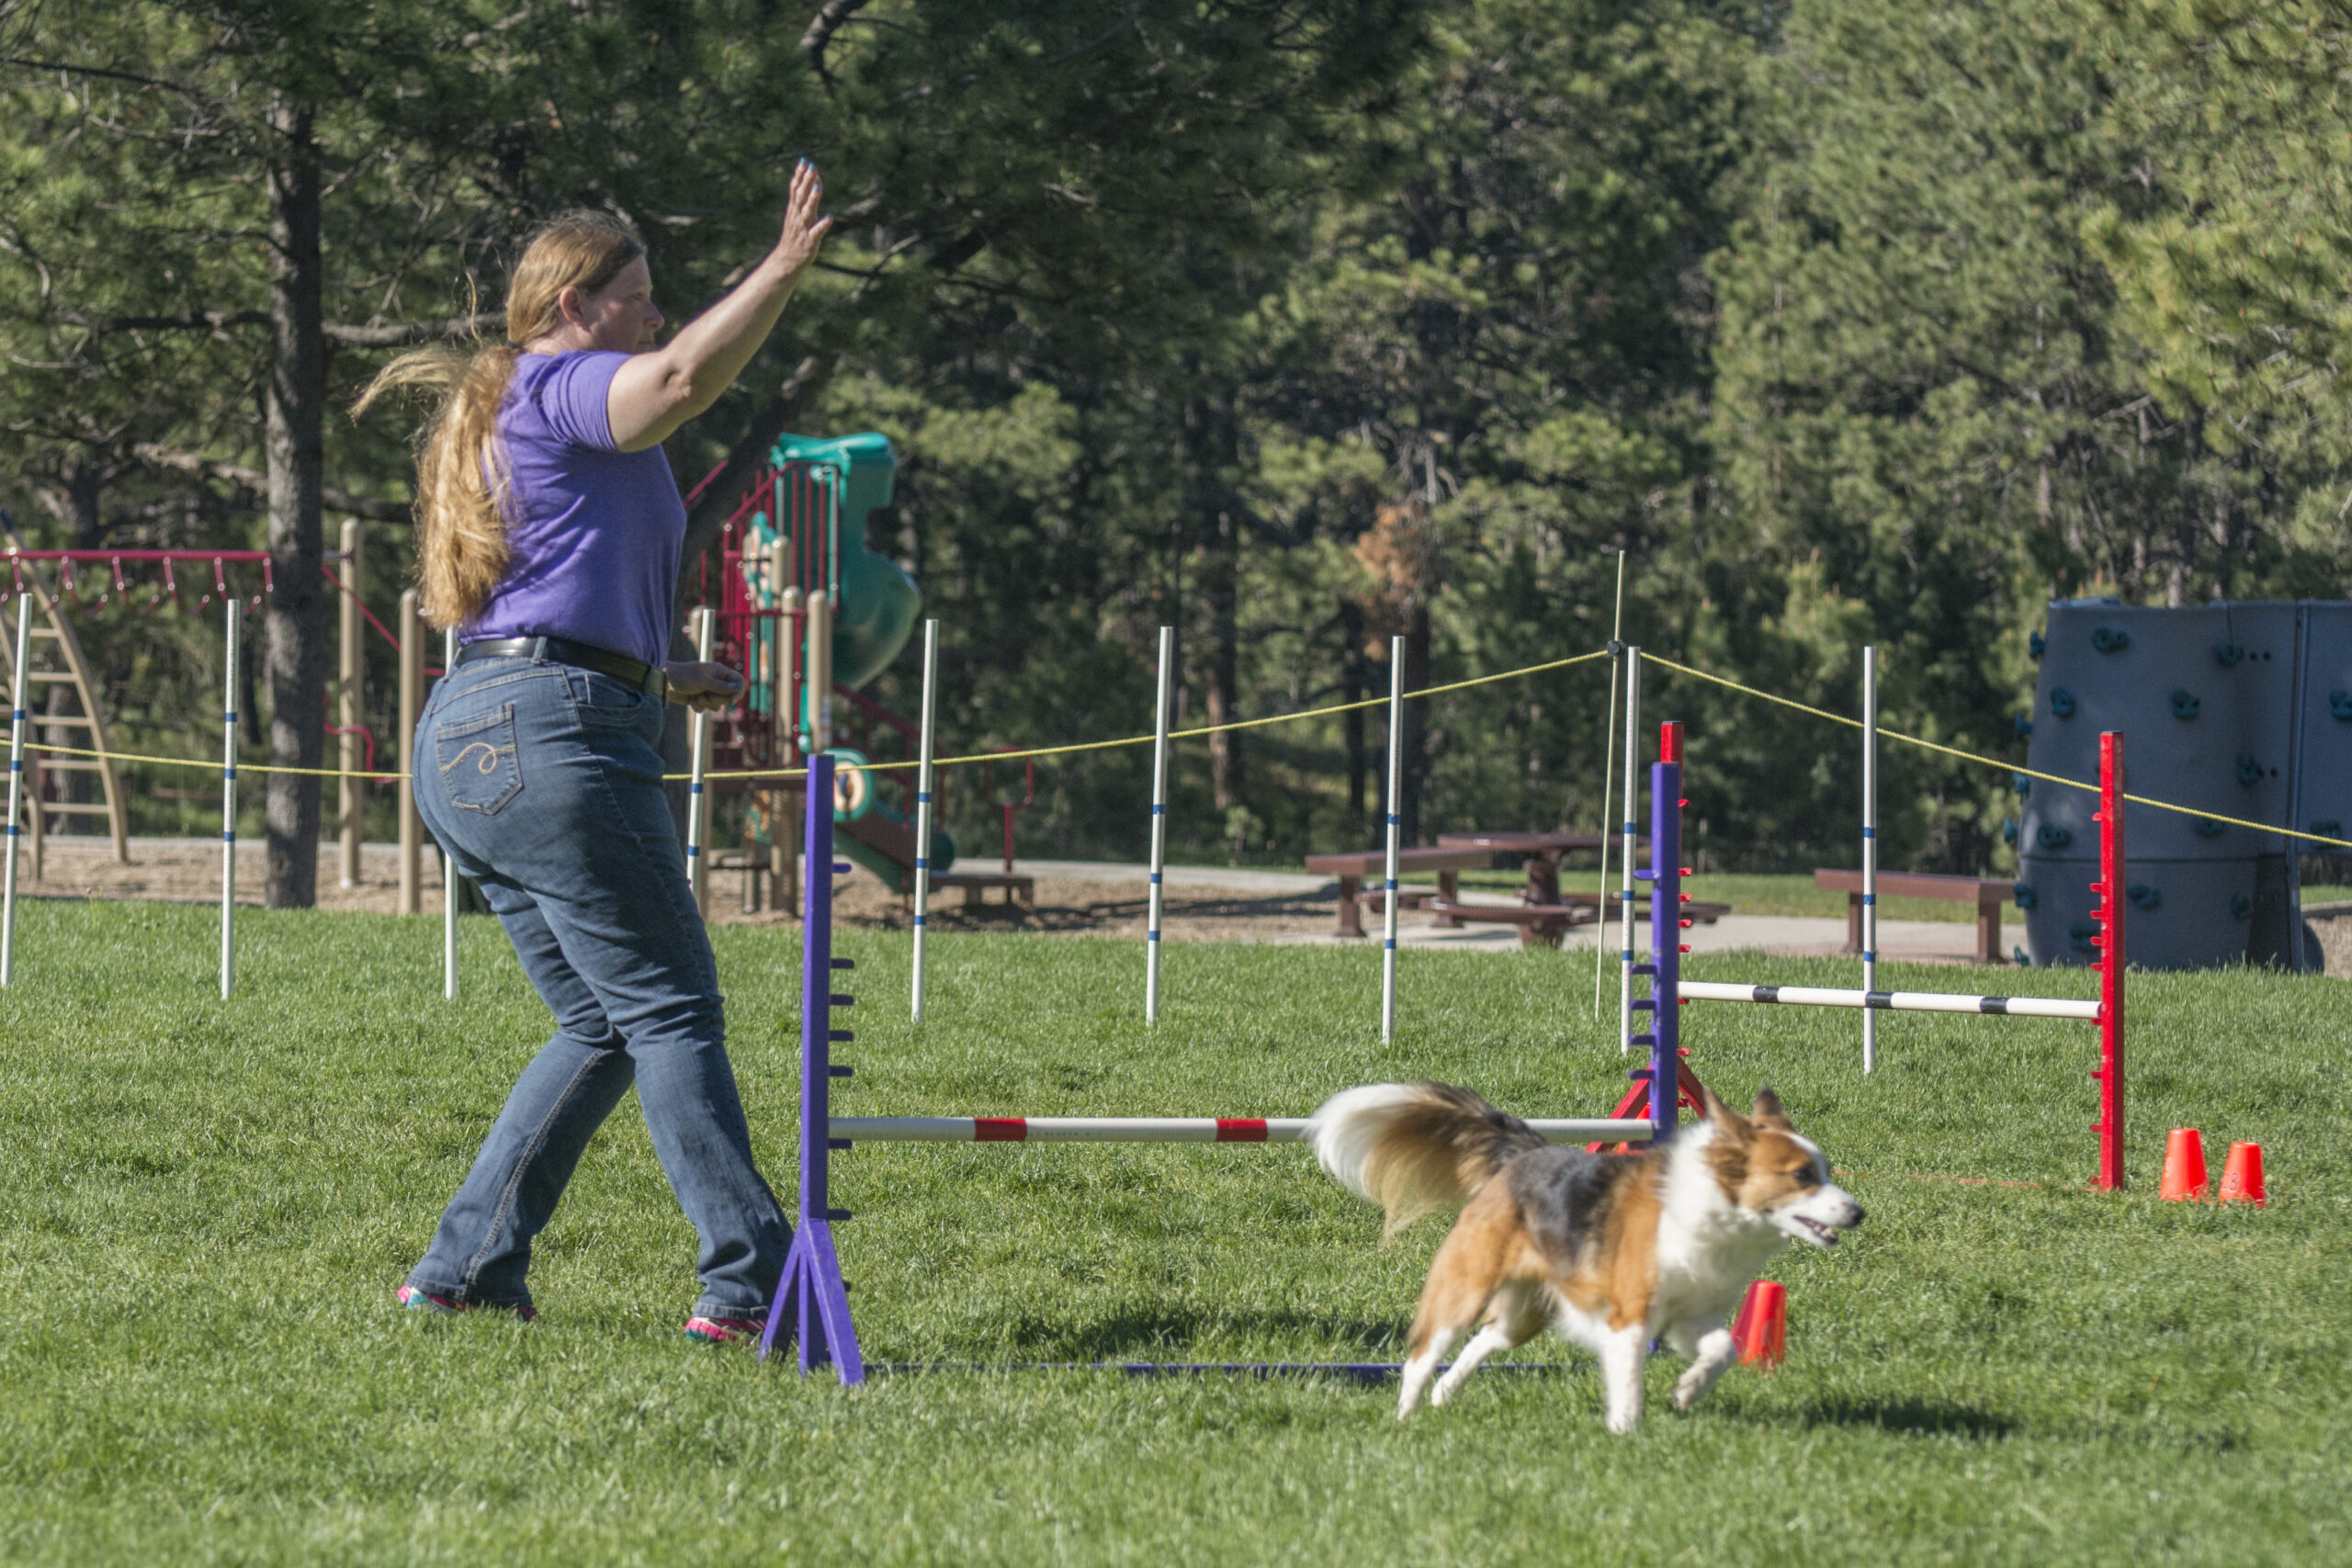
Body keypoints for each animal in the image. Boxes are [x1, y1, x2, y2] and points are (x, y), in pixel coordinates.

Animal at [1307, 1072, 1853, 1429]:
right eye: (1801, 1175)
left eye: (1824, 1171)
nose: (1857, 1212)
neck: (1711, 1209)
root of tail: (1526, 1154)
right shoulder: (1630, 1316)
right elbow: (1628, 1382)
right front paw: (1627, 1434)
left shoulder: (1690, 1317)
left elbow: (1725, 1349)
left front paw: (1689, 1388)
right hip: (1467, 1286)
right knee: (1424, 1354)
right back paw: (1406, 1418)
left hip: (1526, 1312)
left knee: (1485, 1340)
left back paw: (1445, 1393)